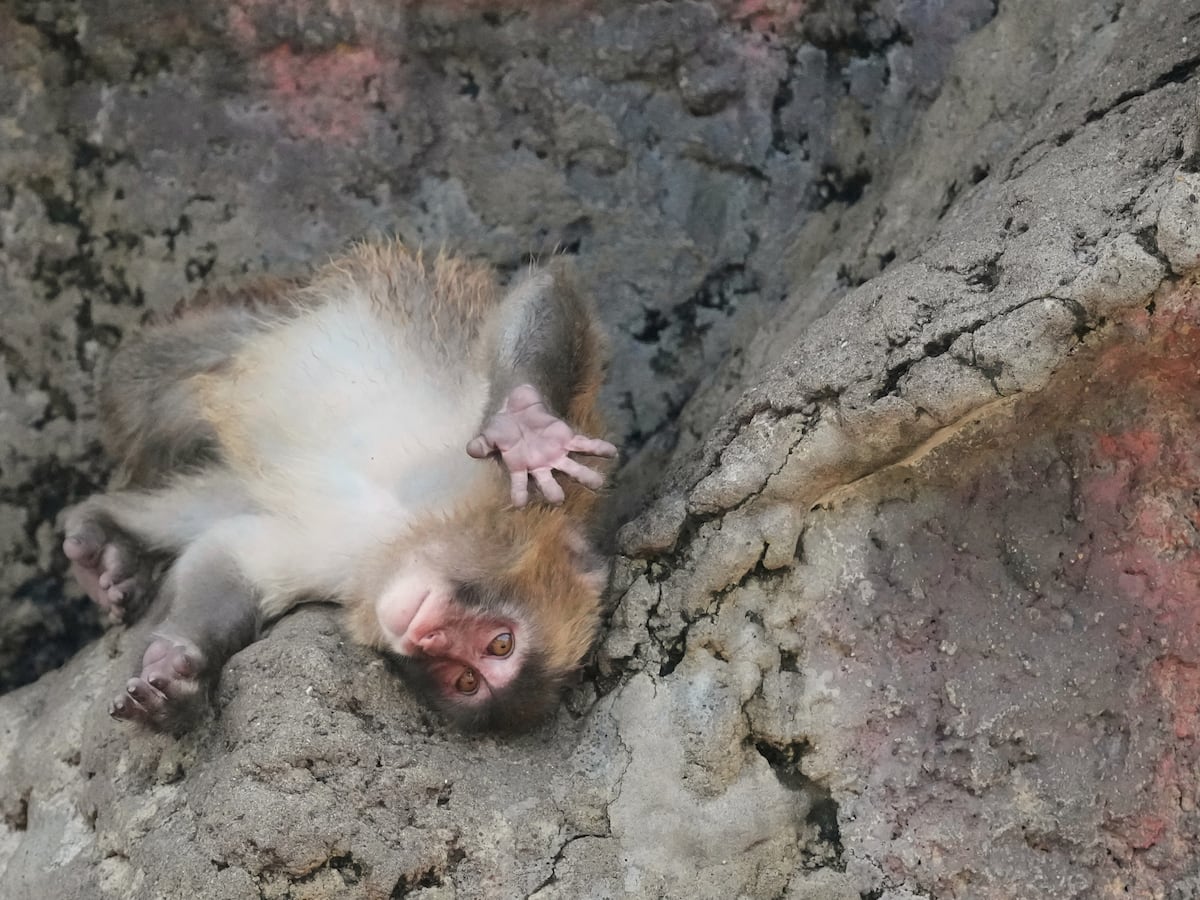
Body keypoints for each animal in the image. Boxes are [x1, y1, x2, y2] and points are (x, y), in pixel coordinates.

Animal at [61, 242, 616, 733]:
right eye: (501, 644)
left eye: (466, 679)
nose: (428, 638)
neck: (414, 527)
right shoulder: (522, 489)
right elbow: (545, 288)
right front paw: (526, 429)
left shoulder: (345, 576)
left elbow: (230, 557)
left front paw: (177, 674)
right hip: (256, 320)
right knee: (149, 388)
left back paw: (112, 543)